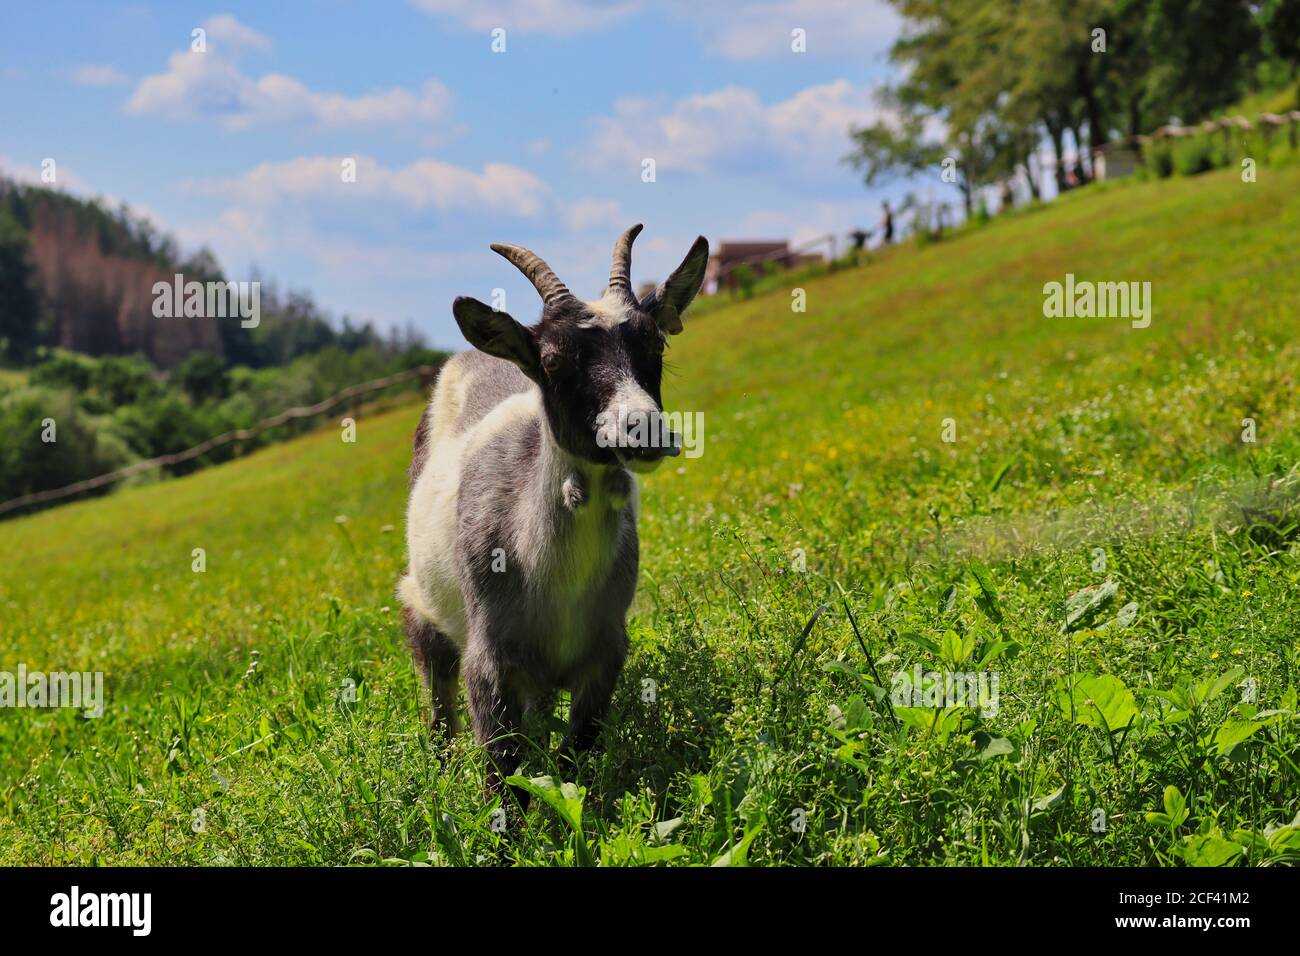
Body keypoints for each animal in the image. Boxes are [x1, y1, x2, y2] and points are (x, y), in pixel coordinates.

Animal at [397, 223, 712, 790]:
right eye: (553, 361)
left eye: (655, 344)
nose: (644, 429)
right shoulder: (488, 660)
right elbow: (503, 773)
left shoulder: (605, 653)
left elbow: (574, 758)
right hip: (422, 606)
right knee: (438, 702)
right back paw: (440, 773)